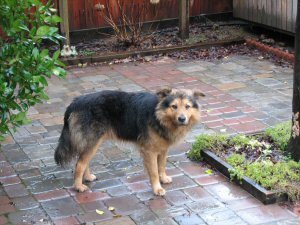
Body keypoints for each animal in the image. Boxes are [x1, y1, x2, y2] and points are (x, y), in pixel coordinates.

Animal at [54, 87, 204, 195]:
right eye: (174, 106)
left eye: (187, 106)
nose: (182, 119)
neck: (158, 115)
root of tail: (75, 102)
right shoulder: (149, 151)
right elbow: (154, 171)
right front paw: (157, 189)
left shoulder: (163, 149)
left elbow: (161, 166)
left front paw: (163, 178)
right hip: (93, 141)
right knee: (79, 164)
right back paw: (78, 186)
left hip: (92, 143)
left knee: (83, 161)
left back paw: (88, 177)